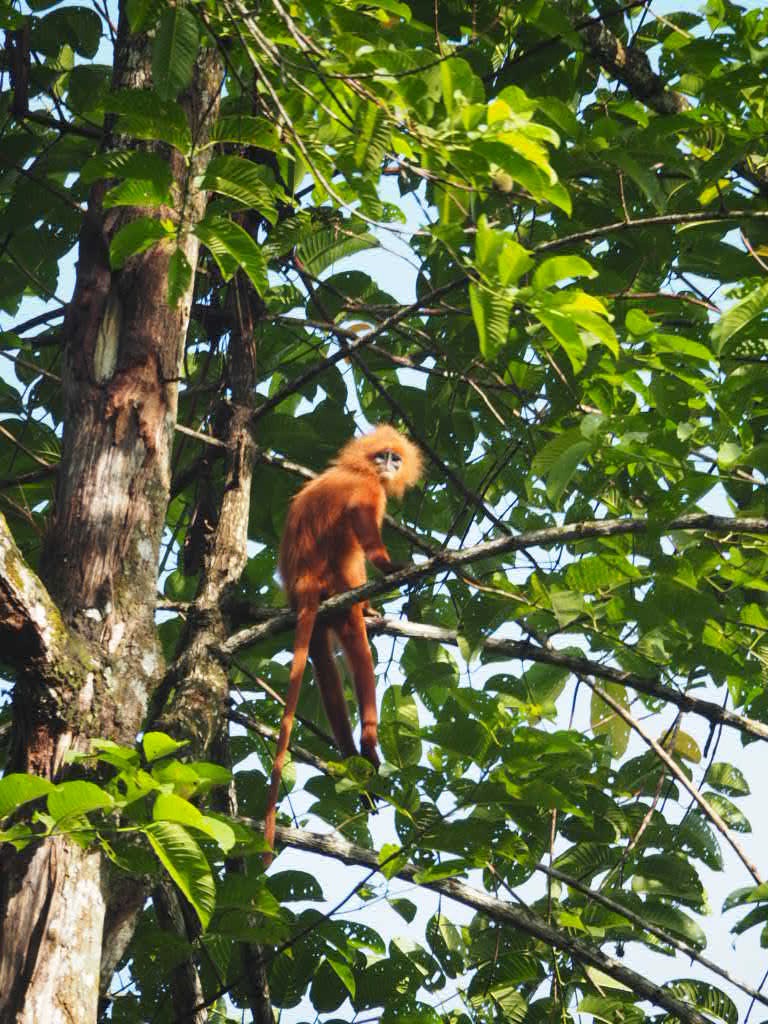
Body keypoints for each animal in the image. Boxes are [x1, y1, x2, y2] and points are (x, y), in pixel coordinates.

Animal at [263, 425, 422, 864]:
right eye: (383, 456)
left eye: (396, 457)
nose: (390, 465)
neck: (357, 469)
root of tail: (302, 584)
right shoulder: (367, 491)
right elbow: (363, 527)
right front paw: (393, 566)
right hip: (335, 587)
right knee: (355, 642)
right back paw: (367, 743)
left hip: (318, 616)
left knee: (324, 667)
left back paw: (351, 759)